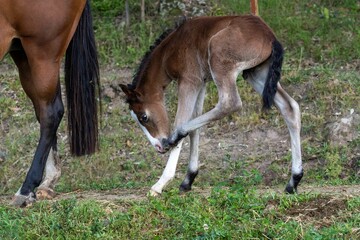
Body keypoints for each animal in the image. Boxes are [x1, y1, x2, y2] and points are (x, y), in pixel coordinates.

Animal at [0, 0, 100, 206]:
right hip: (23, 54)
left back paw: (27, 188)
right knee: (44, 110)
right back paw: (48, 181)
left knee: (51, 113)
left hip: (43, 54)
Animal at [121, 15, 304, 198]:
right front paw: (189, 178)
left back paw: (176, 136)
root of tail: (270, 36)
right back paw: (294, 181)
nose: (159, 147)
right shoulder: (201, 82)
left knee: (230, 102)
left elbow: (182, 120)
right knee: (290, 107)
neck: (170, 49)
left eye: (144, 117)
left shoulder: (189, 80)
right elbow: (195, 126)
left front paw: (160, 184)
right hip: (256, 72)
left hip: (220, 61)